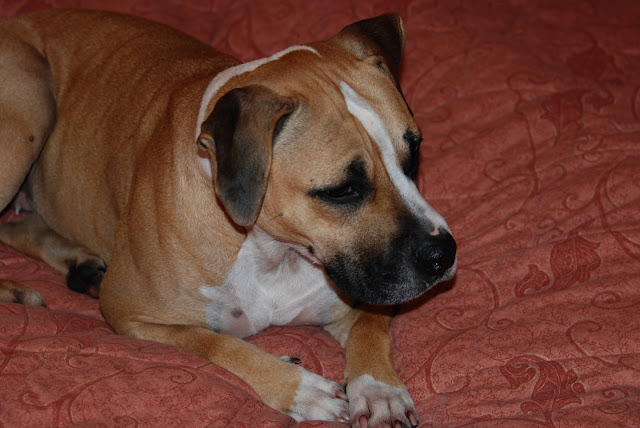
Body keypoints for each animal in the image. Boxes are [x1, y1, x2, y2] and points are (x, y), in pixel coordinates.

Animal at [0, 9, 456, 427]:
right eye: (341, 190)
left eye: (414, 153)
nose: (444, 255)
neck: (271, 250)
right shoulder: (130, 314)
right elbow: (214, 343)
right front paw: (298, 387)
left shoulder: (359, 296)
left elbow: (370, 328)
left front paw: (379, 389)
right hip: (28, 111)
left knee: (19, 226)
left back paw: (80, 264)